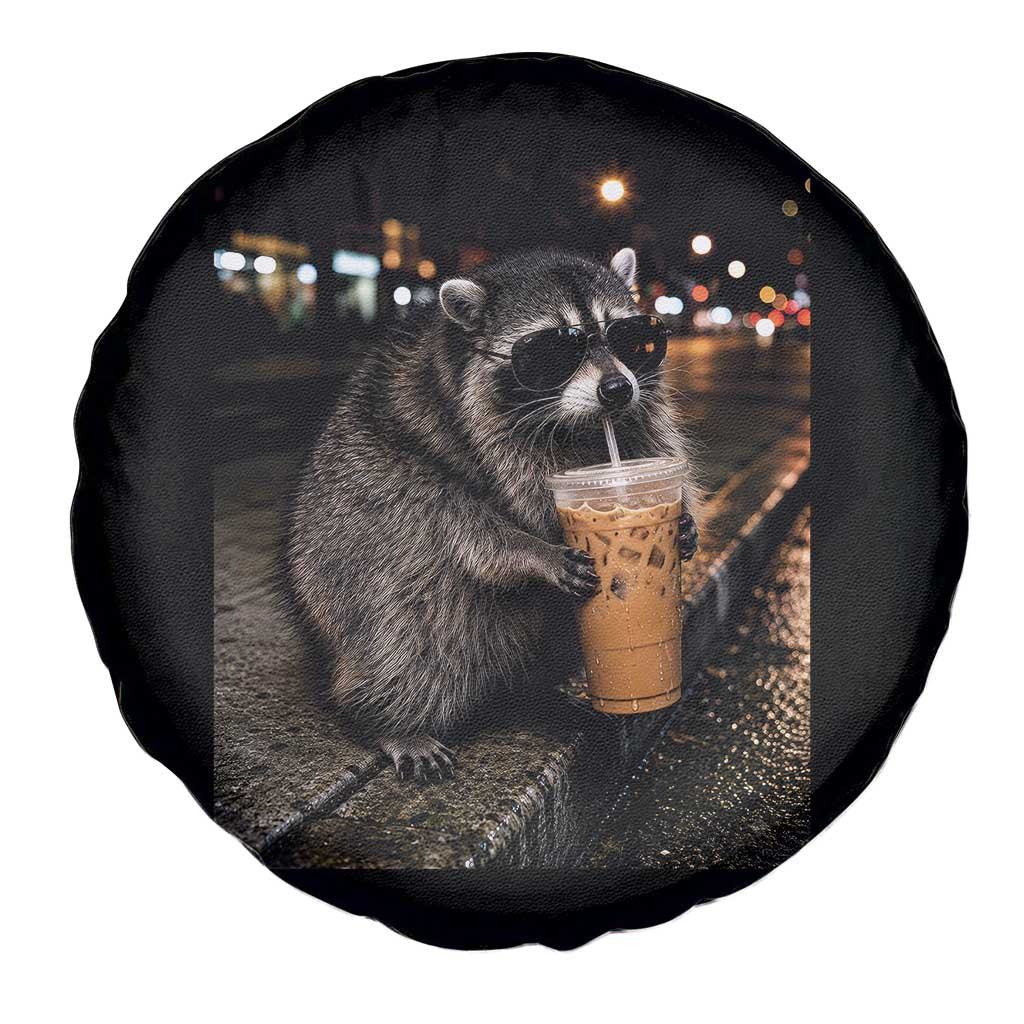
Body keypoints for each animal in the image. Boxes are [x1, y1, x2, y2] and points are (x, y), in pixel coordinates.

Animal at [287, 248, 699, 781]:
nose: (615, 389)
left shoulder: (636, 415)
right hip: (344, 559)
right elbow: (462, 519)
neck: (582, 428)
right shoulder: (450, 431)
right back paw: (390, 718)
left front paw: (683, 521)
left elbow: (652, 443)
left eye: (627, 337)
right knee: (412, 605)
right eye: (553, 349)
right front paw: (532, 548)